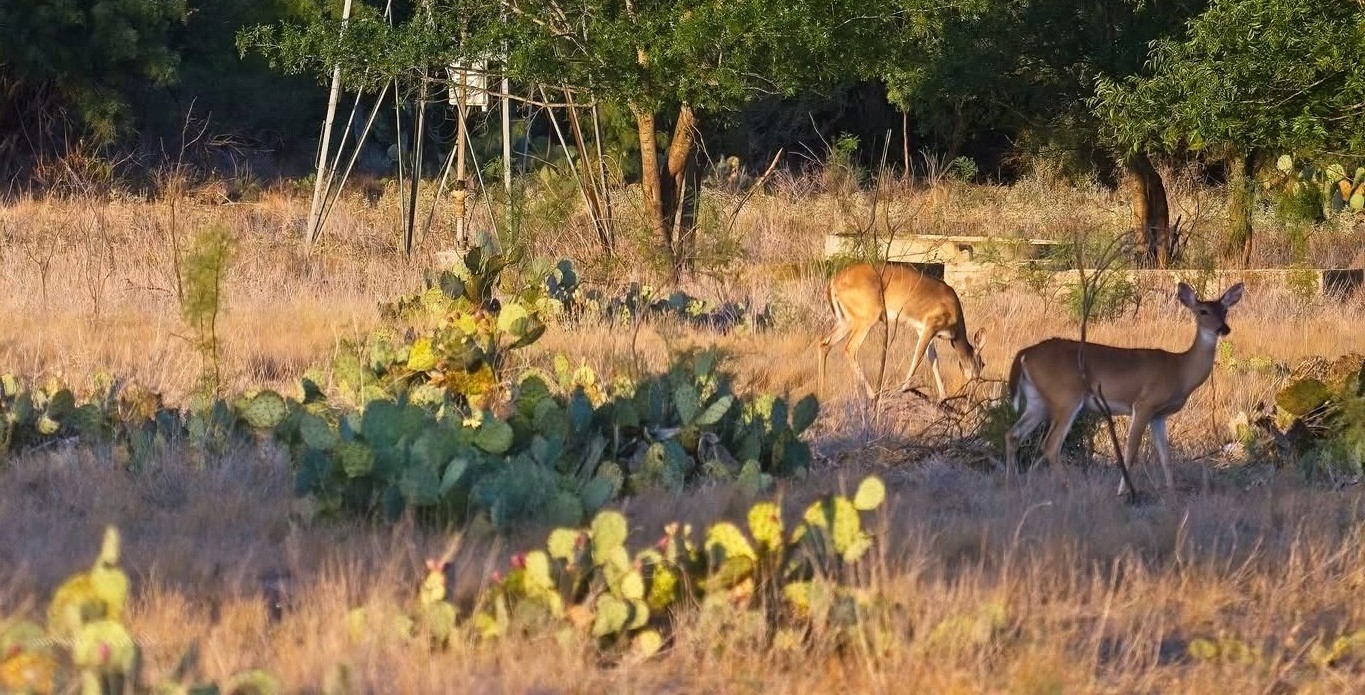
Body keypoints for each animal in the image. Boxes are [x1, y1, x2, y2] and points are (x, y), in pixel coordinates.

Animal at [813, 260, 988, 401]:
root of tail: (833, 282)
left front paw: (943, 396)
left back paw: (821, 391)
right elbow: (918, 357)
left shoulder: (922, 328)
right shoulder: (932, 324)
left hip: (846, 319)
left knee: (824, 343)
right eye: (982, 363)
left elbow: (933, 360)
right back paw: (872, 394)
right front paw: (903, 389)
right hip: (866, 316)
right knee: (849, 349)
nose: (977, 384)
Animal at [1004, 278, 1250, 491]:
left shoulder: (1159, 415)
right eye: (1203, 311)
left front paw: (1171, 490)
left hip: (1037, 400)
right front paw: (1123, 491)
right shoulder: (1144, 404)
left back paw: (1013, 482)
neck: (1179, 370)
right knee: (1051, 444)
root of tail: (1025, 354)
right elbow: (1131, 451)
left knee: (1013, 434)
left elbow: (1165, 456)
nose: (1223, 329)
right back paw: (1069, 487)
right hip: (1066, 396)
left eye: (1225, 310)